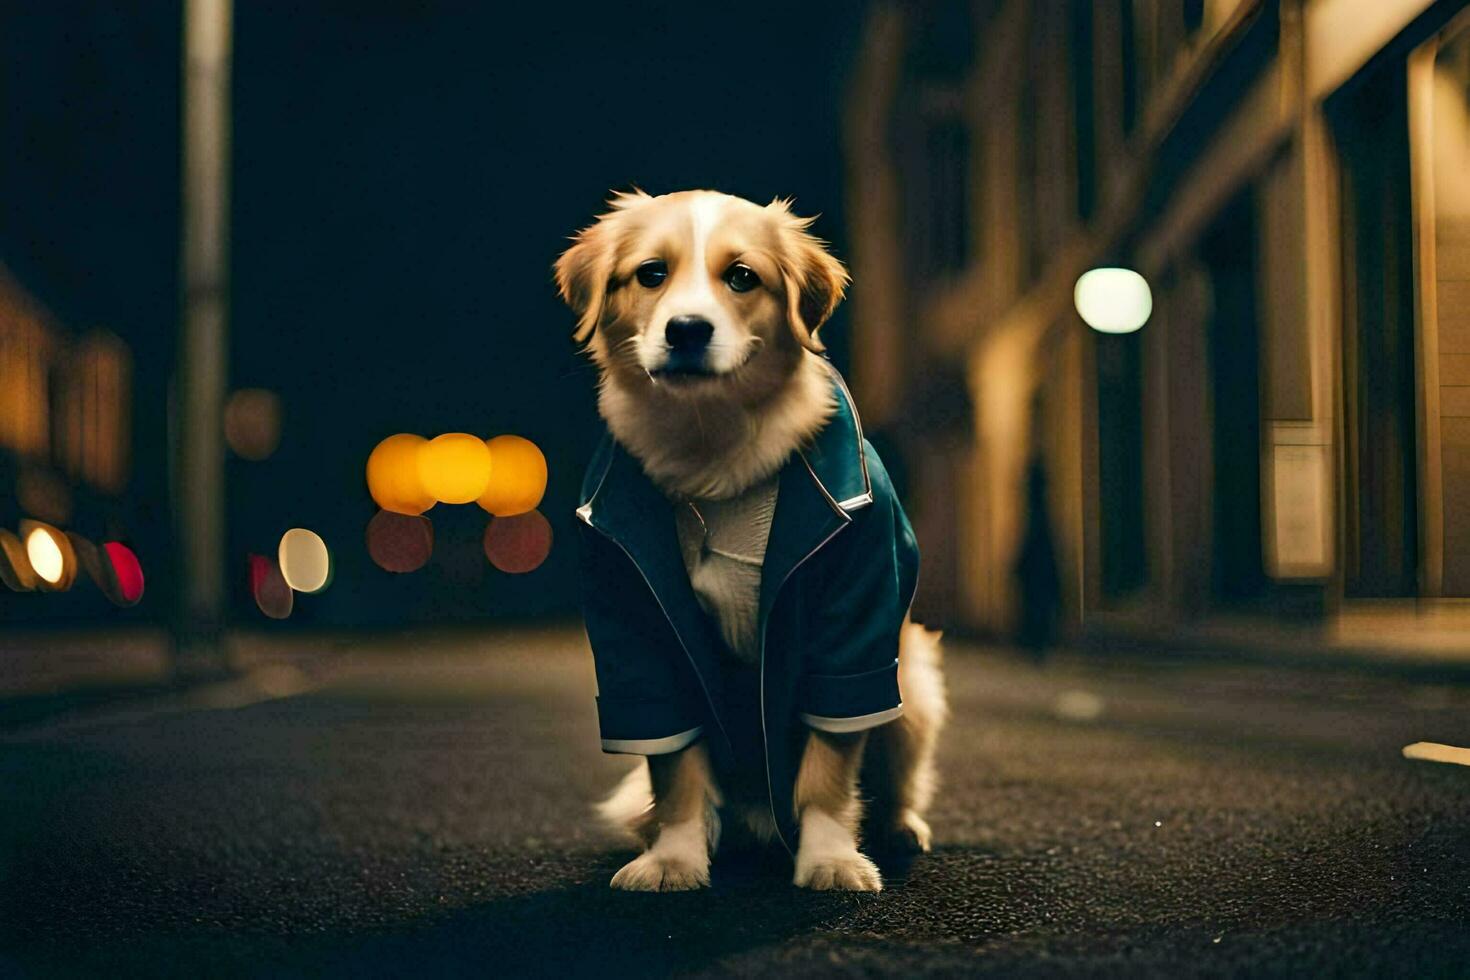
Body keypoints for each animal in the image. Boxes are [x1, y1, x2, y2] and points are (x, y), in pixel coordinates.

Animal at [555, 188, 946, 893]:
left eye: (741, 277)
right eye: (651, 273)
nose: (686, 328)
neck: (712, 446)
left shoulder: (852, 635)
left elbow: (828, 768)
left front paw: (829, 857)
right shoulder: (639, 636)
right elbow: (675, 767)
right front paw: (675, 857)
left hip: (916, 688)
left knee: (897, 781)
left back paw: (898, 828)